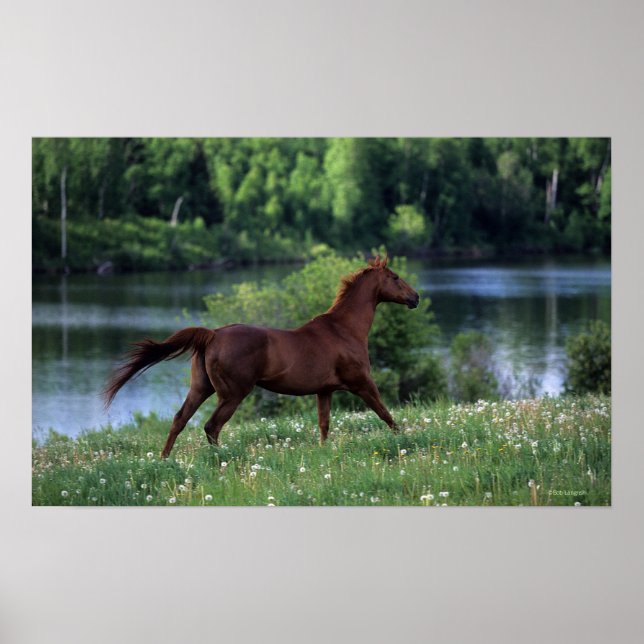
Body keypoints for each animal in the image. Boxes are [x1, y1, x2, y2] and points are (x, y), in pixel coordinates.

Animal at [103, 255, 420, 458]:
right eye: (395, 278)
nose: (415, 298)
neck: (343, 330)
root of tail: (213, 334)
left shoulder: (325, 391)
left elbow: (324, 425)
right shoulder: (361, 382)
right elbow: (385, 413)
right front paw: (404, 441)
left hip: (201, 388)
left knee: (180, 419)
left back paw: (165, 459)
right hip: (232, 394)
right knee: (211, 426)